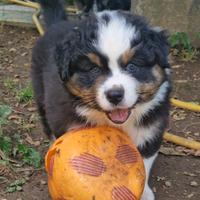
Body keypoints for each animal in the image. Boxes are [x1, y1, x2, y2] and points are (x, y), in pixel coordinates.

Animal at [31, 0, 172, 199]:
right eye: (94, 69)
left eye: (132, 66)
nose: (115, 95)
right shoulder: (67, 119)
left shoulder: (151, 128)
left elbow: (143, 161)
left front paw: (143, 193)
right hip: (41, 94)